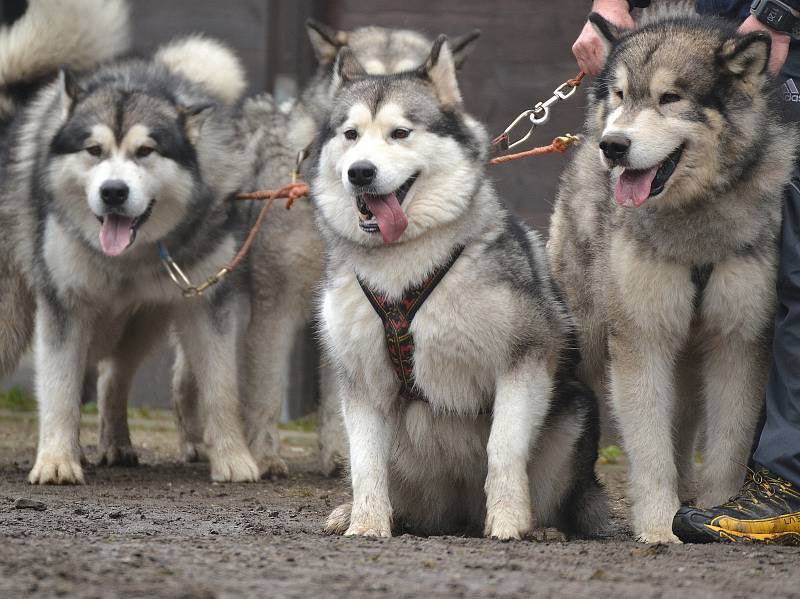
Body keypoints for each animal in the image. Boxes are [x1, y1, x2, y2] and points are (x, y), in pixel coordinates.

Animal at [0, 29, 260, 488]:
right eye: (93, 150)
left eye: (145, 151)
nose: (113, 192)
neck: (130, 259)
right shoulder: (65, 306)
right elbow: (59, 388)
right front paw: (56, 461)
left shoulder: (206, 302)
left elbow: (221, 388)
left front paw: (233, 458)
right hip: (10, 317)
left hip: (144, 320)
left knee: (114, 377)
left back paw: (116, 443)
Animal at [316, 39, 608, 540]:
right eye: (350, 135)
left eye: (400, 133)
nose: (360, 172)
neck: (404, 263)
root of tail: (458, 514)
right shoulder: (362, 379)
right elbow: (365, 462)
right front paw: (367, 524)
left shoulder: (526, 358)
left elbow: (504, 448)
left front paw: (509, 521)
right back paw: (357, 512)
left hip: (574, 413)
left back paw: (542, 527)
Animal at [548, 5, 796, 544]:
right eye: (622, 94)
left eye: (670, 98)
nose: (614, 146)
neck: (694, 222)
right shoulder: (642, 337)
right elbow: (650, 448)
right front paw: (660, 526)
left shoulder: (739, 340)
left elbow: (727, 445)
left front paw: (721, 511)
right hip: (587, 337)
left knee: (682, 425)